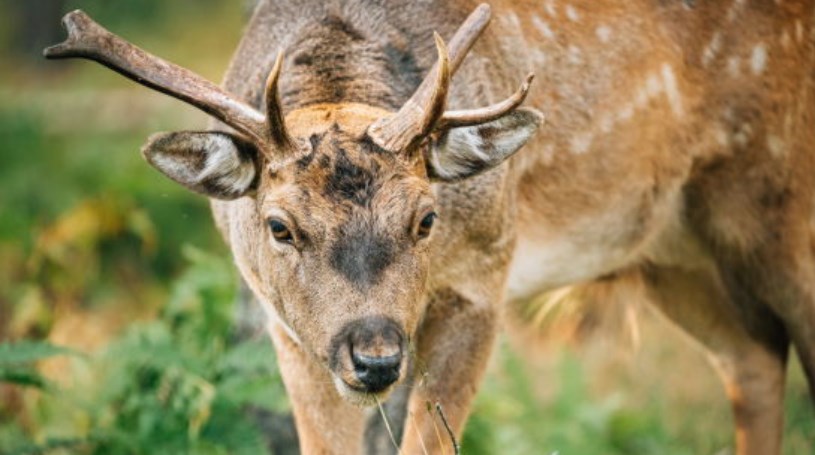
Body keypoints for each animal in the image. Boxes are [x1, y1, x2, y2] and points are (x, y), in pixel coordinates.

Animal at [46, 0, 815, 454]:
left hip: (784, 206)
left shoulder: (483, 276)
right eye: (278, 226)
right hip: (671, 250)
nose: (376, 356)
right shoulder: (286, 324)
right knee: (752, 357)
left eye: (426, 218)